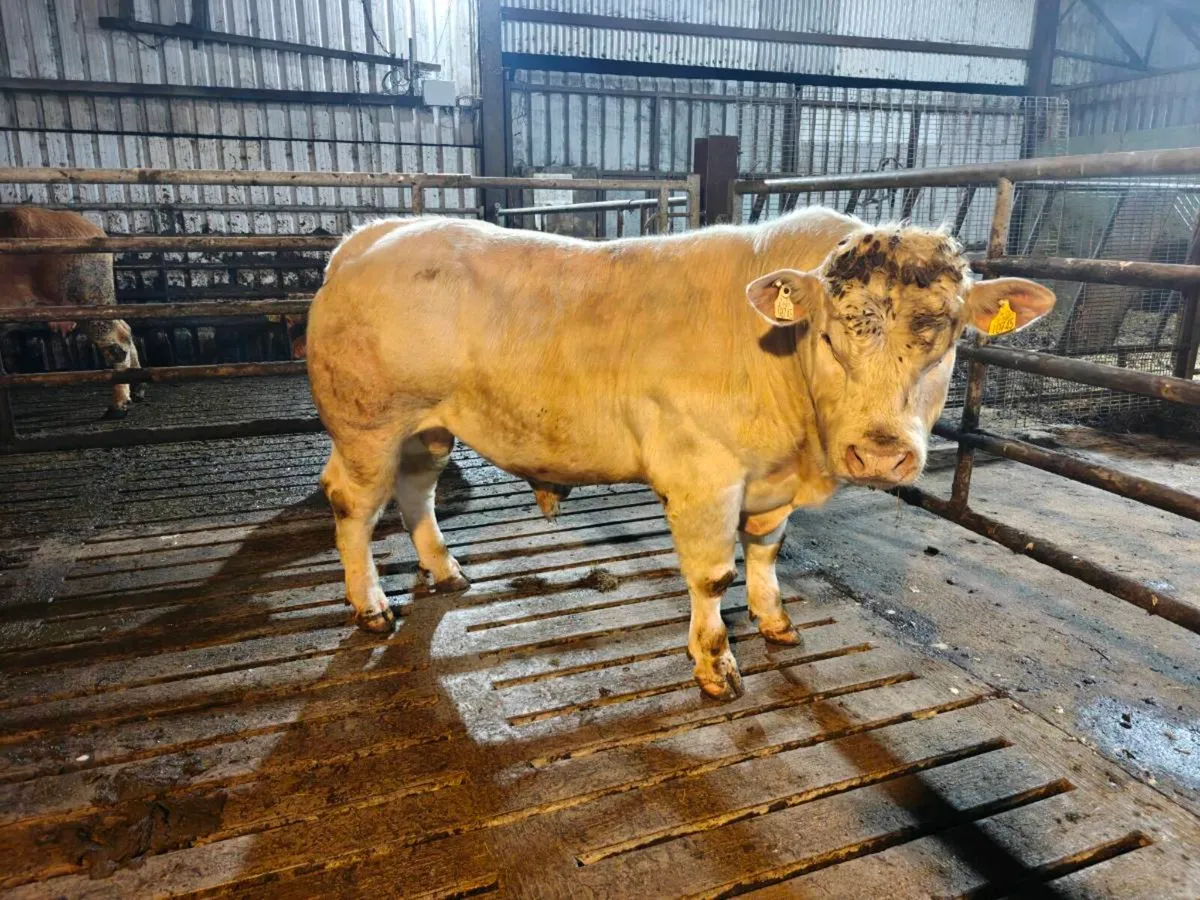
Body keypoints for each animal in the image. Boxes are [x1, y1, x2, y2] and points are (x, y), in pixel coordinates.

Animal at [0, 208, 143, 418]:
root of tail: (95, 231)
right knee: (126, 327)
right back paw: (139, 391)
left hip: (86, 293)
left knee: (117, 339)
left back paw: (116, 409)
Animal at [306, 208, 1055, 700]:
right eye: (829, 333)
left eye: (949, 337)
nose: (878, 455)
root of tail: (371, 236)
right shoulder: (705, 477)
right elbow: (713, 576)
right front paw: (716, 664)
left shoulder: (767, 484)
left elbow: (767, 552)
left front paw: (775, 621)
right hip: (367, 425)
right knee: (353, 503)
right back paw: (371, 606)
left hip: (428, 427)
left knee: (417, 489)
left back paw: (445, 570)